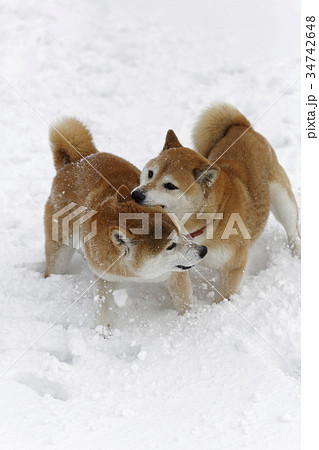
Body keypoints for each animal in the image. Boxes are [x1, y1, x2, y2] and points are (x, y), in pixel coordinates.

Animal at [43, 117, 208, 326]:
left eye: (179, 232)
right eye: (170, 246)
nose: (203, 251)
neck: (135, 273)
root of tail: (75, 161)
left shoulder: (174, 275)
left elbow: (185, 304)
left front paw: (189, 324)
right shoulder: (105, 277)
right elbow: (103, 309)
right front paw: (102, 331)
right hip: (60, 252)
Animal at [131, 103, 302, 302]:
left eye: (170, 185)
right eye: (150, 173)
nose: (136, 195)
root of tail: (242, 127)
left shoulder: (234, 266)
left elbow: (225, 298)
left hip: (281, 197)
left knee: (292, 231)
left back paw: (298, 252)